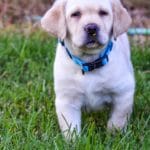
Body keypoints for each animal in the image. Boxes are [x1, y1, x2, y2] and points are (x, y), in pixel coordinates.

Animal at [40, 0, 135, 139]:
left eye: (103, 13)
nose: (91, 28)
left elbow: (118, 119)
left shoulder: (123, 92)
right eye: (75, 14)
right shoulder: (67, 99)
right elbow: (70, 126)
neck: (89, 62)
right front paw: (74, 141)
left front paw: (114, 136)